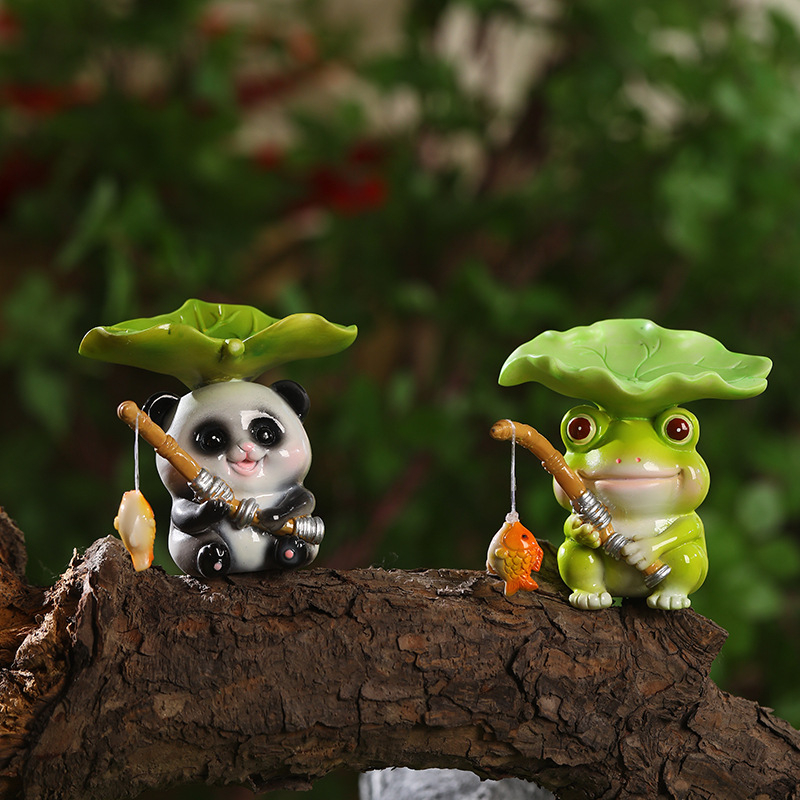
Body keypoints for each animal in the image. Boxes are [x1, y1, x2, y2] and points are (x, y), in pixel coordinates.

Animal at [143, 379, 322, 578]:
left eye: (265, 434)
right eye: (213, 439)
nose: (246, 448)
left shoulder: (294, 487)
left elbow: (305, 499)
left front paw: (273, 516)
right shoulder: (181, 498)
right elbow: (181, 515)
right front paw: (214, 508)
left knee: (305, 544)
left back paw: (292, 549)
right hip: (183, 545)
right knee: (195, 544)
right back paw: (214, 556)